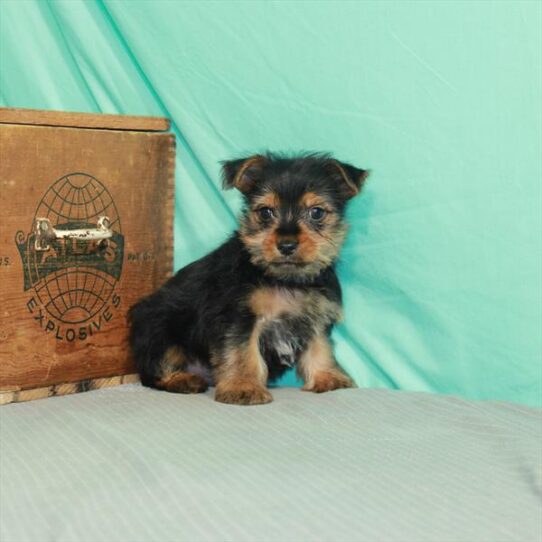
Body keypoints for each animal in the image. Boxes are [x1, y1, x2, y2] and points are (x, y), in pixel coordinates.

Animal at [130, 152, 372, 404]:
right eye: (265, 212)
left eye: (316, 212)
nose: (286, 244)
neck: (285, 278)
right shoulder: (238, 316)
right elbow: (242, 352)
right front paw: (242, 387)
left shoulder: (315, 316)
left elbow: (320, 347)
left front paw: (328, 377)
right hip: (156, 325)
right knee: (156, 365)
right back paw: (182, 379)